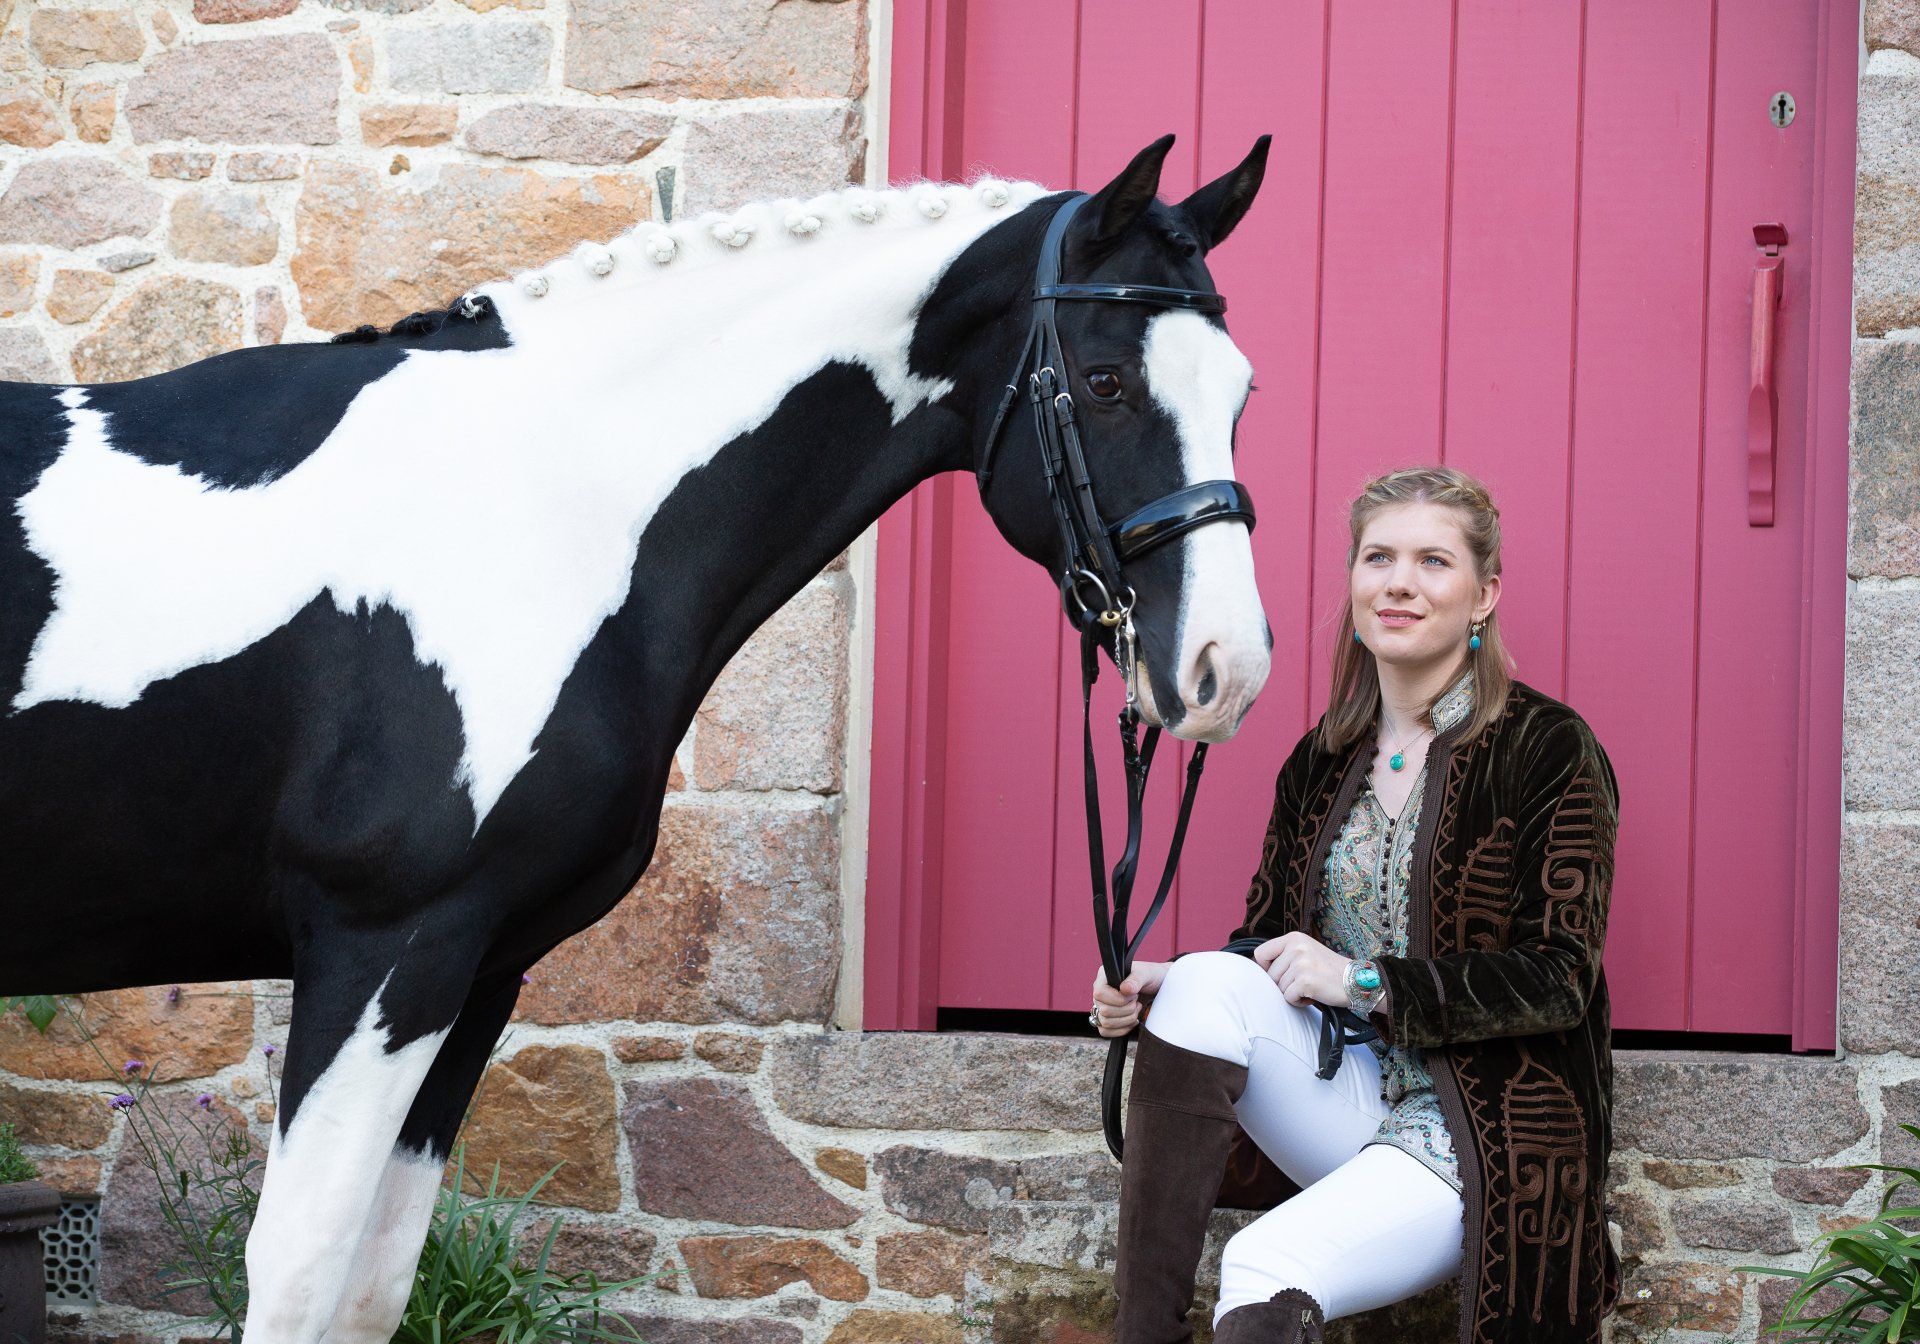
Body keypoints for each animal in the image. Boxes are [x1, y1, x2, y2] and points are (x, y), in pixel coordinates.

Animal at [0, 133, 1272, 1344]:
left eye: (1244, 392)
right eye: (1104, 383)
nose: (1229, 669)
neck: (534, 506)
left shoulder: (478, 963)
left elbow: (373, 1285)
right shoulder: (379, 950)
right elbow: (298, 1276)